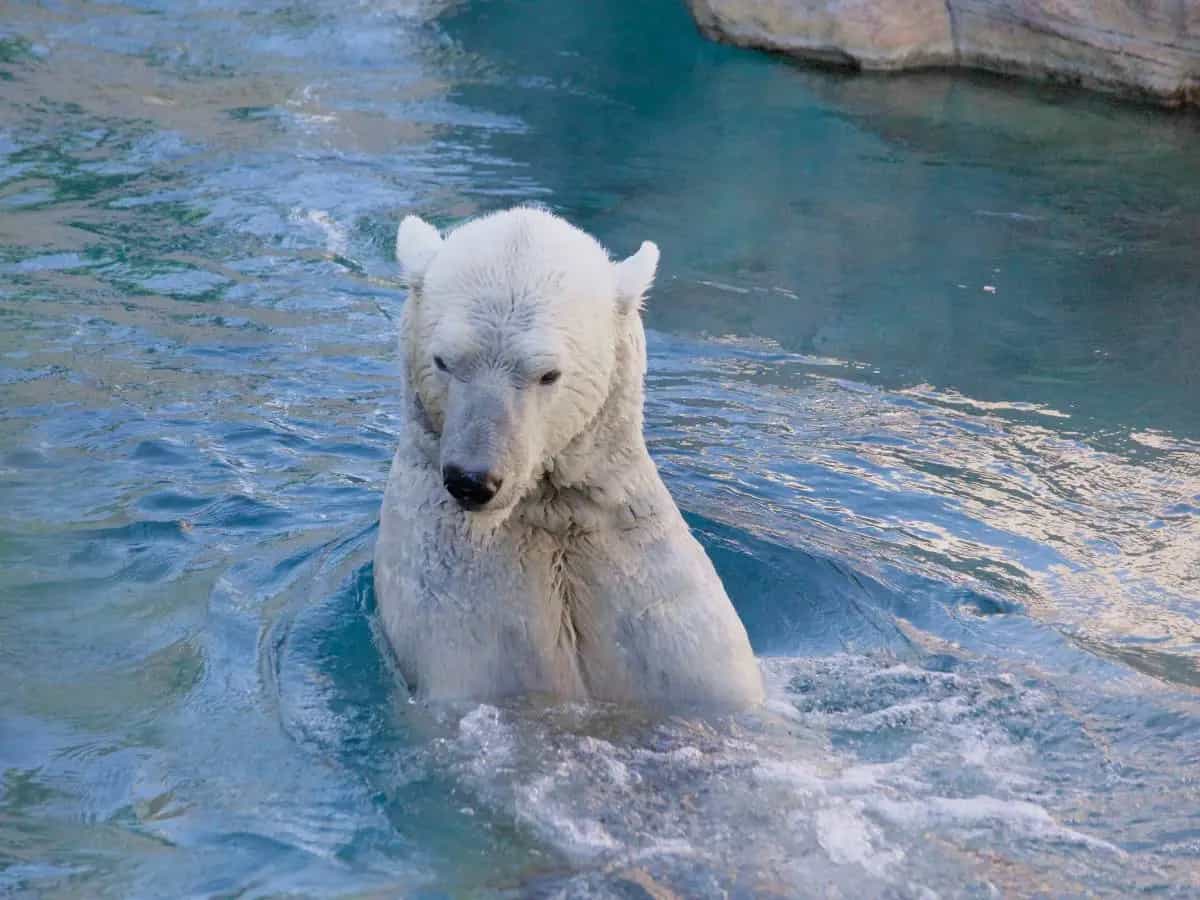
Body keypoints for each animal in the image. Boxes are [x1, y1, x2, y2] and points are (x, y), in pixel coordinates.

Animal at [373, 207, 764, 710]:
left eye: (548, 374)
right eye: (444, 361)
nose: (473, 480)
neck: (549, 512)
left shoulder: (663, 611)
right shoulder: (459, 604)